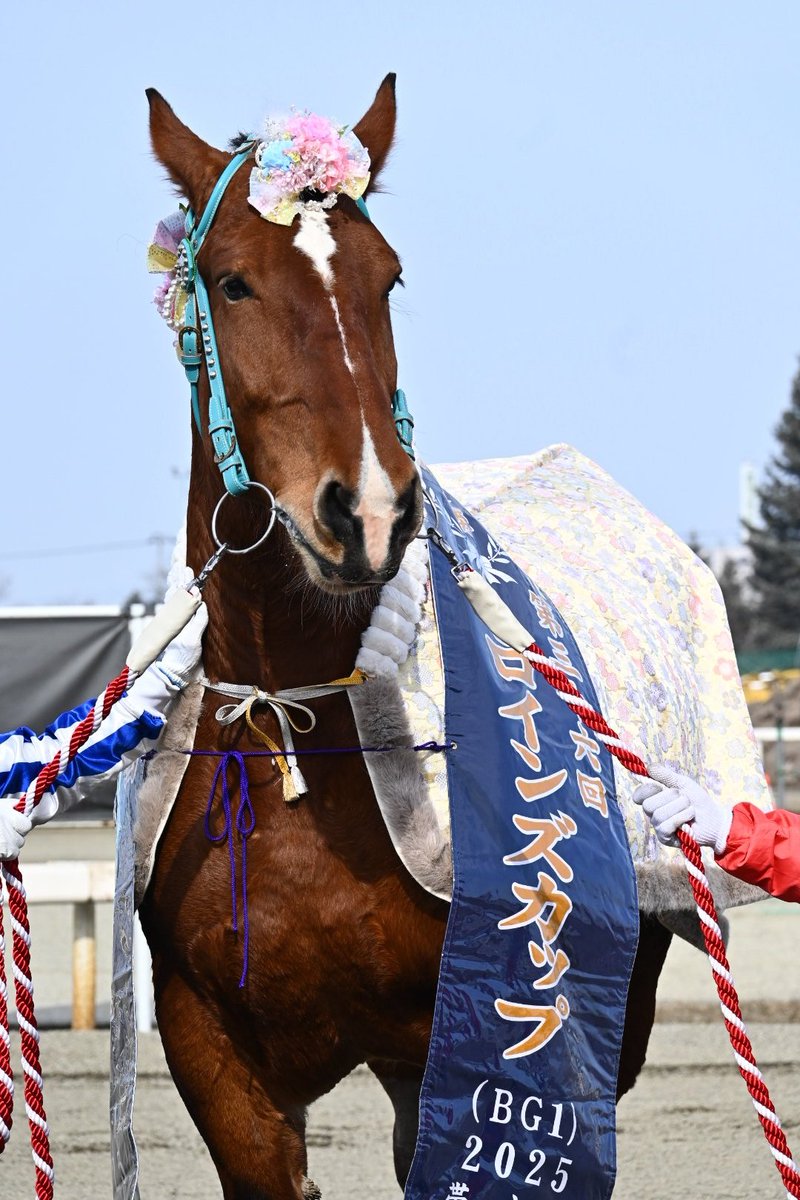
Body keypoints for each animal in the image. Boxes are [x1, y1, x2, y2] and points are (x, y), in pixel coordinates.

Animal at [138, 76, 673, 1200]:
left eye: (386, 279)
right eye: (232, 283)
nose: (369, 512)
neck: (297, 716)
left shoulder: (466, 1048)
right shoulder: (216, 1059)